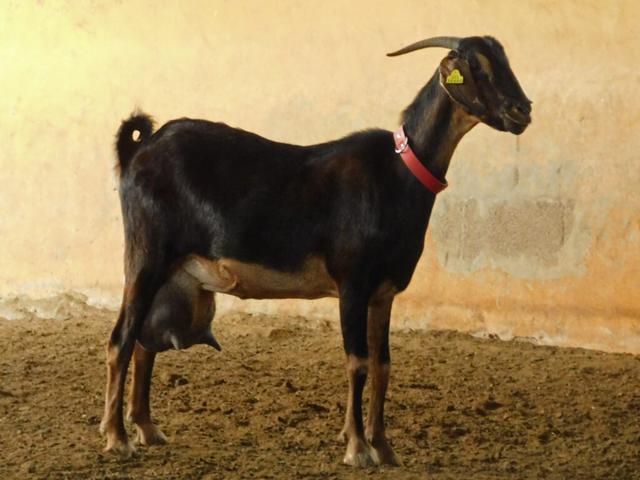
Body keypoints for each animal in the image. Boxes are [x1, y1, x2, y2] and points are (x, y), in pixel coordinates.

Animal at [101, 35, 531, 467]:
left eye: (504, 60)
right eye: (476, 67)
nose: (521, 111)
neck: (398, 174)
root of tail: (139, 150)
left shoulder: (384, 292)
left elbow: (383, 366)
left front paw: (384, 446)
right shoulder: (353, 284)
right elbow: (357, 363)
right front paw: (357, 448)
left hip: (170, 270)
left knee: (144, 343)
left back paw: (147, 428)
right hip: (145, 256)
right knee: (122, 338)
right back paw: (117, 437)